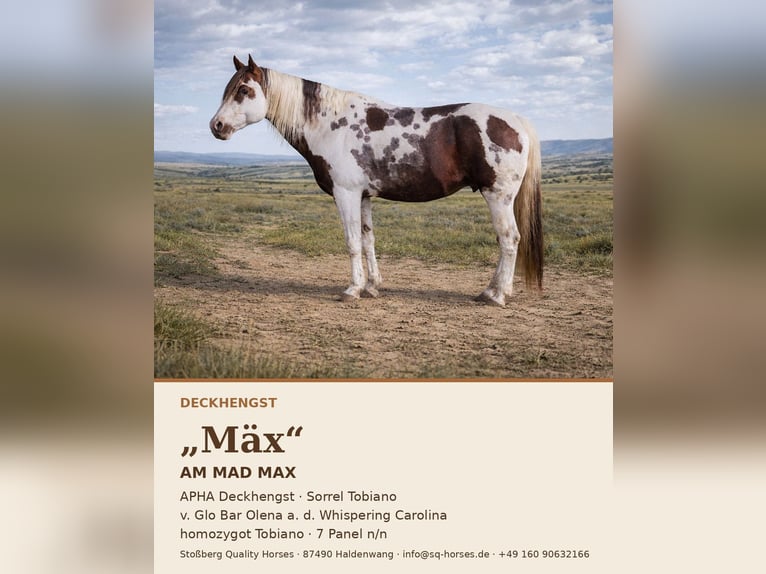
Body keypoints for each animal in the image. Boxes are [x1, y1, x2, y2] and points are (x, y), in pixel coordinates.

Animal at [210, 55, 543, 306]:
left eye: (243, 90)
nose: (217, 126)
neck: (332, 124)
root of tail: (516, 120)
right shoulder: (364, 196)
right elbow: (368, 239)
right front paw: (372, 286)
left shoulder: (346, 194)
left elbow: (352, 241)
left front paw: (352, 289)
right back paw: (496, 290)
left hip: (498, 196)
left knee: (509, 239)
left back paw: (495, 295)